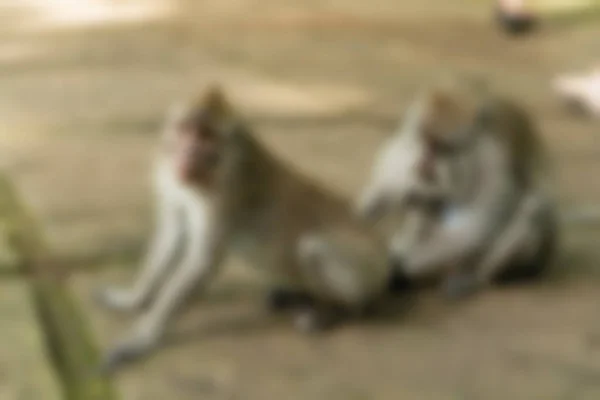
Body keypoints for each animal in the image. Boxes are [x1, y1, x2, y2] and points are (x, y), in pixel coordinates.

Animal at [94, 85, 392, 376]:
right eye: (185, 129)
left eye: (206, 136)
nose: (188, 153)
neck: (218, 162)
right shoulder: (169, 174)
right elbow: (172, 234)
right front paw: (133, 299)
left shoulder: (229, 185)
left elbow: (203, 260)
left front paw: (141, 339)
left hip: (369, 270)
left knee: (314, 247)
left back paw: (337, 310)